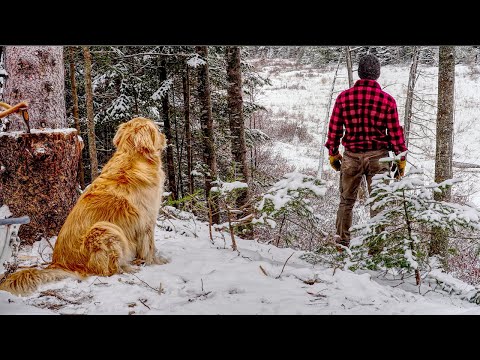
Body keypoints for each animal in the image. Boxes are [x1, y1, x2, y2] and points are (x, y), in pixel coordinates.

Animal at [0, 116, 168, 294]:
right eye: (157, 130)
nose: (165, 136)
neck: (133, 156)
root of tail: (59, 263)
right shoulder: (147, 221)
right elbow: (150, 247)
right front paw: (157, 262)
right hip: (104, 229)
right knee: (108, 270)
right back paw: (129, 268)